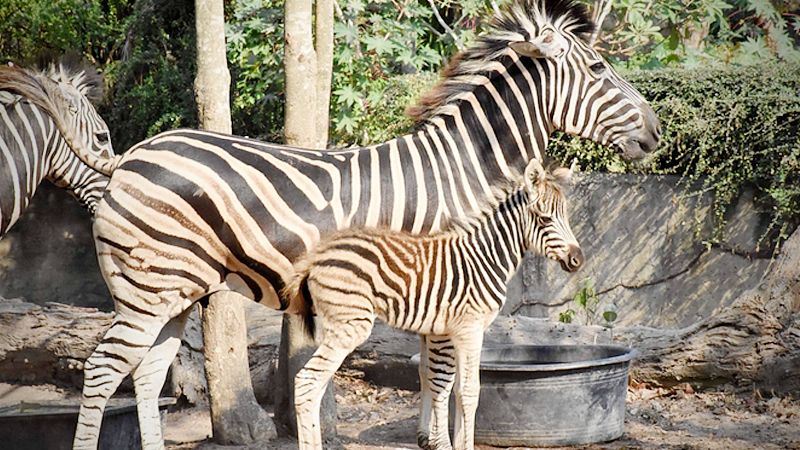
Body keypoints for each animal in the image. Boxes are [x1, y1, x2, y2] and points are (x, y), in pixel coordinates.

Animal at [285, 159, 580, 450]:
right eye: (545, 218)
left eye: (565, 216)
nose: (578, 259)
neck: (484, 257)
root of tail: (316, 256)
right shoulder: (470, 328)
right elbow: (470, 392)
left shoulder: (453, 331)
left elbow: (454, 390)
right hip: (350, 324)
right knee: (306, 382)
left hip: (336, 324)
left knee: (317, 386)